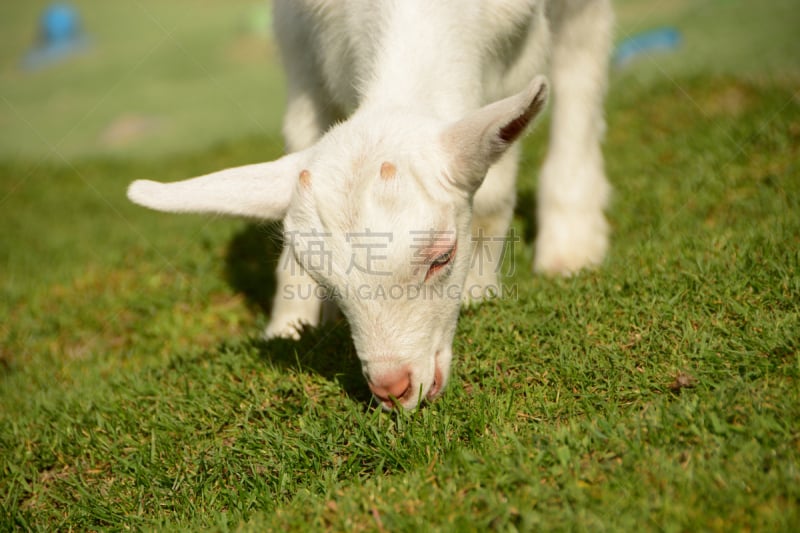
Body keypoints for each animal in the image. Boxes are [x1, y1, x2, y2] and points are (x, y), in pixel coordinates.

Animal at [128, 0, 612, 410]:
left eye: (443, 257)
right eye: (321, 276)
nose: (393, 388)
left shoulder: (518, 52)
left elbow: (493, 192)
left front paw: (480, 290)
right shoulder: (297, 31)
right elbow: (300, 133)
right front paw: (289, 323)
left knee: (580, 58)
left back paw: (570, 245)